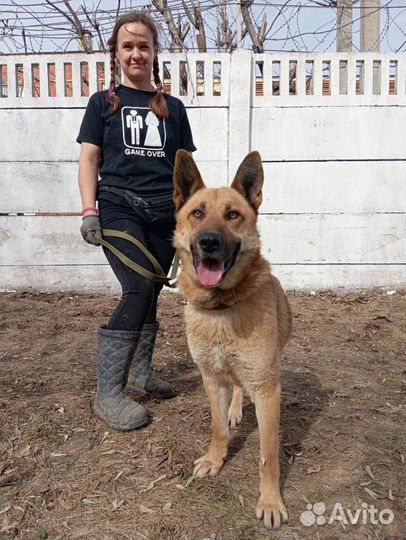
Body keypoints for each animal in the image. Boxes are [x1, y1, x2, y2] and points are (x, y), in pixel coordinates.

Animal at [172, 150, 292, 528]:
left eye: (233, 215)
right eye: (197, 213)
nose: (209, 242)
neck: (221, 306)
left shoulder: (268, 390)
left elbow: (268, 455)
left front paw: (270, 502)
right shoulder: (211, 378)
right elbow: (217, 428)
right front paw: (215, 459)